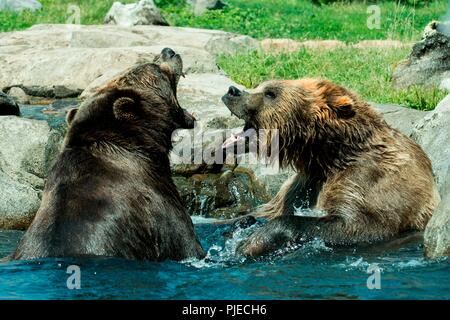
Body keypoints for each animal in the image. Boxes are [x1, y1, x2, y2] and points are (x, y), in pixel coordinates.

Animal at [221, 78, 440, 258]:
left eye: (270, 93)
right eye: (259, 85)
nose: (232, 91)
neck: (328, 154)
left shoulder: (368, 177)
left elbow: (360, 226)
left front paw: (251, 243)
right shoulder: (305, 183)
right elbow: (266, 210)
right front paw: (241, 224)